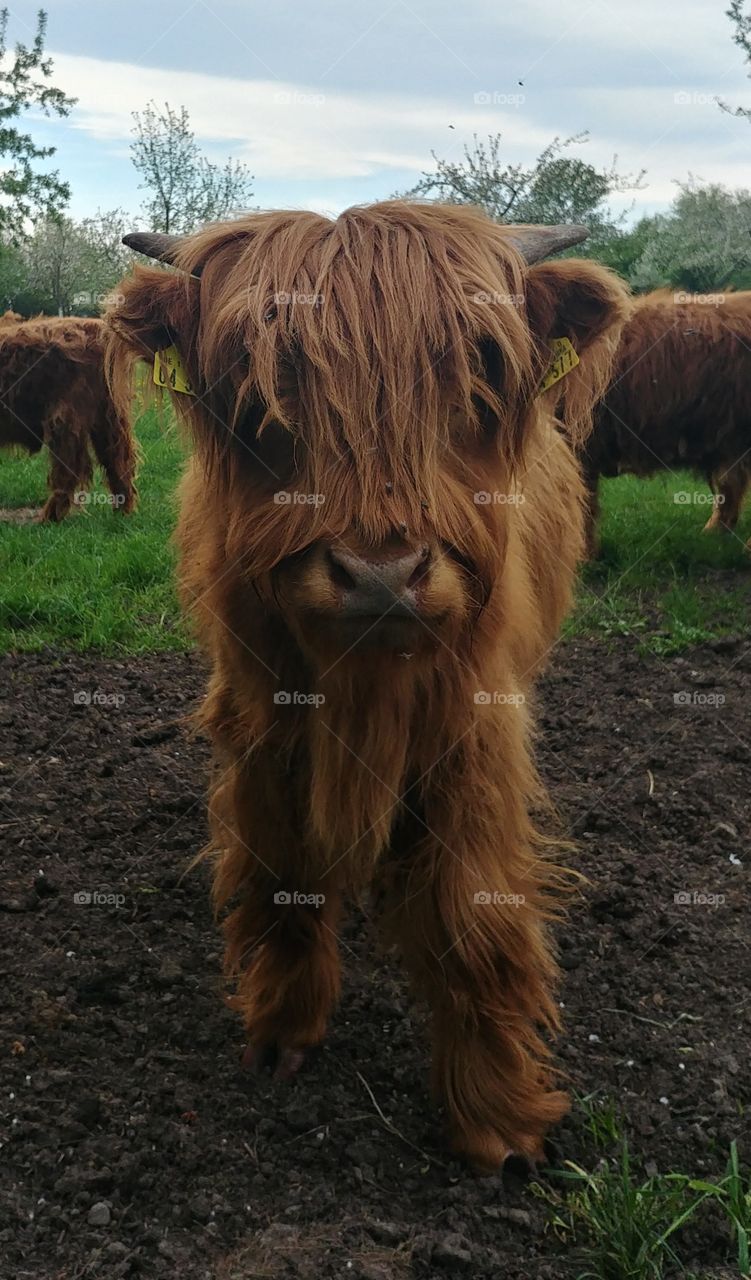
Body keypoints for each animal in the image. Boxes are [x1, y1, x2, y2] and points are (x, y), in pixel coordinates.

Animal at [0, 314, 138, 521]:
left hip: (64, 417)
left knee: (69, 466)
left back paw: (49, 516)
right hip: (110, 415)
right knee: (117, 459)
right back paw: (122, 511)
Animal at [105, 202, 629, 1171]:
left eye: (478, 370)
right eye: (255, 385)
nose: (379, 573)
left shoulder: (472, 737)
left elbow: (470, 915)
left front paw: (496, 1119)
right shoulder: (264, 724)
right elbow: (282, 876)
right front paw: (283, 1030)